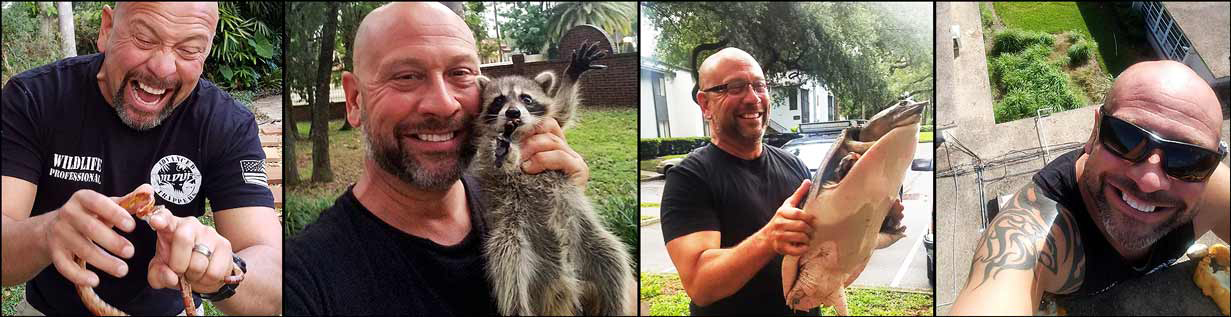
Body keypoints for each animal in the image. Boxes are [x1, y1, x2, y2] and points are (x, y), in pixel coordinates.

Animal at [470, 40, 635, 314]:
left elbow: (563, 110)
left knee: (614, 259)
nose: (513, 113)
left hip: (590, 239)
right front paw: (504, 154)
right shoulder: (484, 147)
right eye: (499, 100)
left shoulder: (550, 122)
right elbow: (494, 166)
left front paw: (571, 74)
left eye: (526, 99)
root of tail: (562, 285)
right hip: (514, 237)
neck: (518, 135)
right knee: (510, 272)